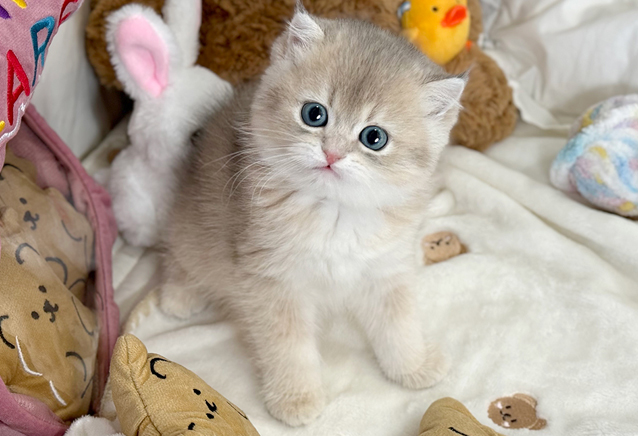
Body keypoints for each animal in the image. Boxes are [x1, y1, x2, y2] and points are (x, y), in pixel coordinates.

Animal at [159, 2, 466, 427]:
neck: (334, 212)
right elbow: (288, 347)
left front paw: (413, 365)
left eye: (374, 138)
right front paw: (296, 397)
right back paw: (179, 294)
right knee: (179, 251)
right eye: (314, 114)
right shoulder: (273, 281)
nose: (332, 153)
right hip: (193, 222)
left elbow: (398, 323)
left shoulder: (385, 270)